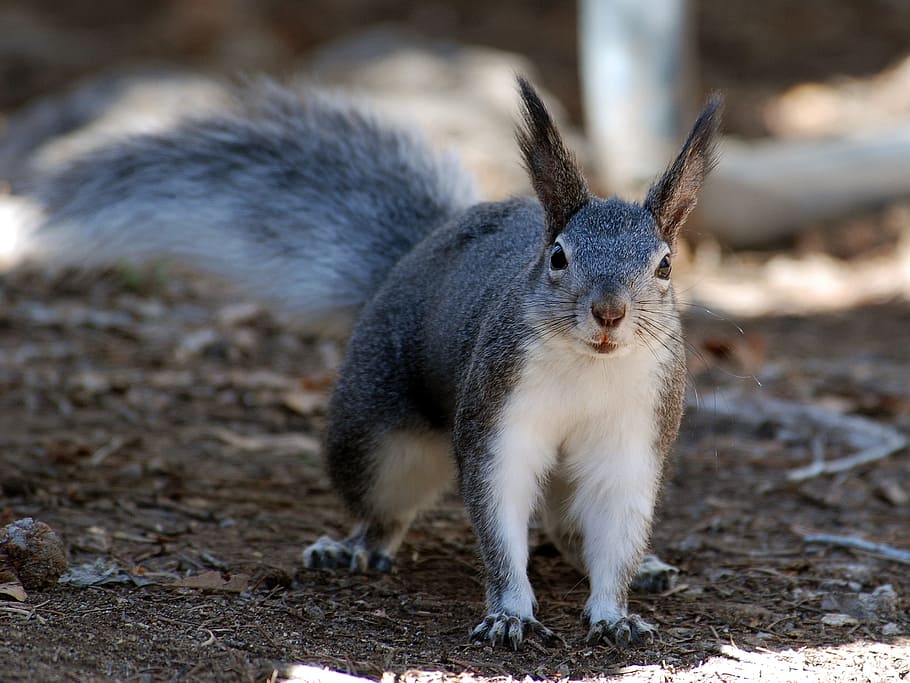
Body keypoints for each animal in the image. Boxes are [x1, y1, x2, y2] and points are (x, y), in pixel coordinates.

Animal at [9, 75, 721, 650]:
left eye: (664, 265)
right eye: (558, 257)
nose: (609, 313)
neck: (589, 366)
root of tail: (417, 254)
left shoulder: (633, 436)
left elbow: (616, 529)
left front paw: (614, 612)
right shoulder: (498, 420)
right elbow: (499, 519)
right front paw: (511, 613)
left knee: (572, 527)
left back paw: (643, 568)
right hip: (376, 436)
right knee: (384, 505)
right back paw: (354, 548)